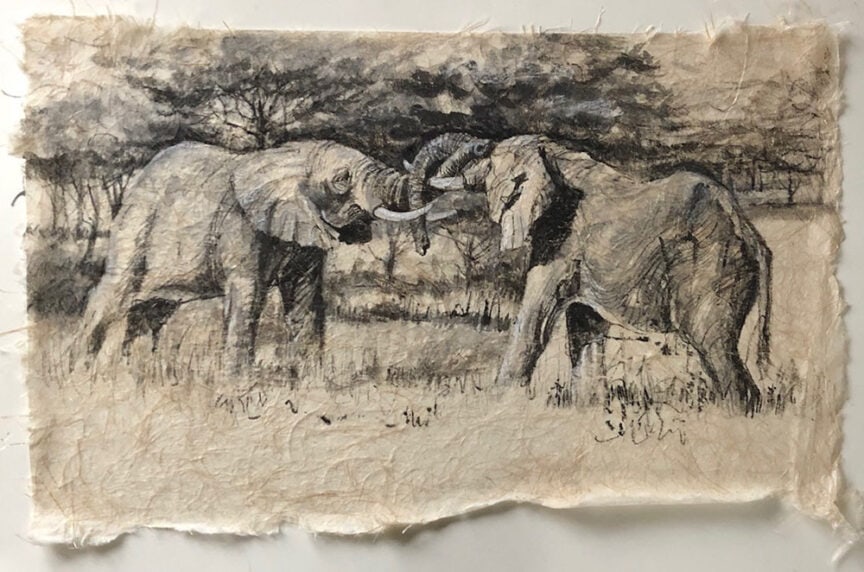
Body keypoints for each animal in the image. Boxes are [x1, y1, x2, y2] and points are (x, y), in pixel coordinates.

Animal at [79, 139, 441, 373]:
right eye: (342, 179)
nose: (424, 247)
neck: (290, 158)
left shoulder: (304, 230)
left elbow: (304, 299)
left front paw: (311, 384)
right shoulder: (241, 225)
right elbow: (248, 296)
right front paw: (238, 389)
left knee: (151, 311)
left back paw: (133, 372)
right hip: (136, 225)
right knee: (113, 294)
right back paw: (79, 372)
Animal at [424, 134, 772, 414]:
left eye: (486, 160)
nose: (477, 143)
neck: (553, 155)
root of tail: (749, 232)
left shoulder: (561, 242)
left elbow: (534, 321)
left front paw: (500, 404)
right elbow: (584, 327)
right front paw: (586, 409)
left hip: (711, 265)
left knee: (712, 345)